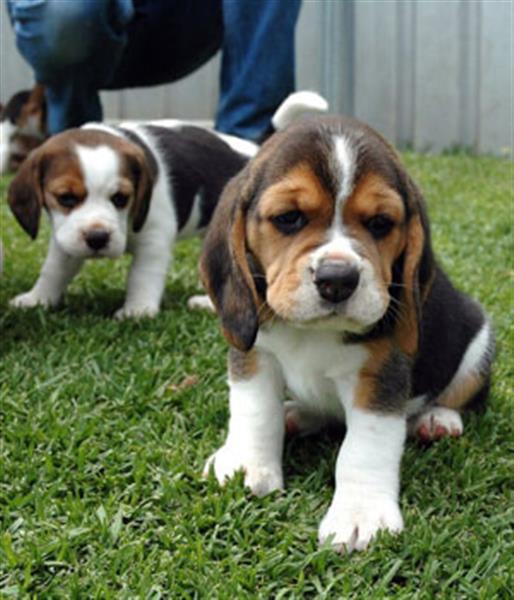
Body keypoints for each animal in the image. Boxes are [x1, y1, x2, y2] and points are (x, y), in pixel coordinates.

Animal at [8, 92, 326, 318]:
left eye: (121, 198)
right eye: (66, 198)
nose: (98, 238)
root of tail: (258, 149)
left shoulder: (154, 238)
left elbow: (142, 275)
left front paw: (137, 311)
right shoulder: (67, 237)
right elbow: (54, 270)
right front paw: (37, 299)